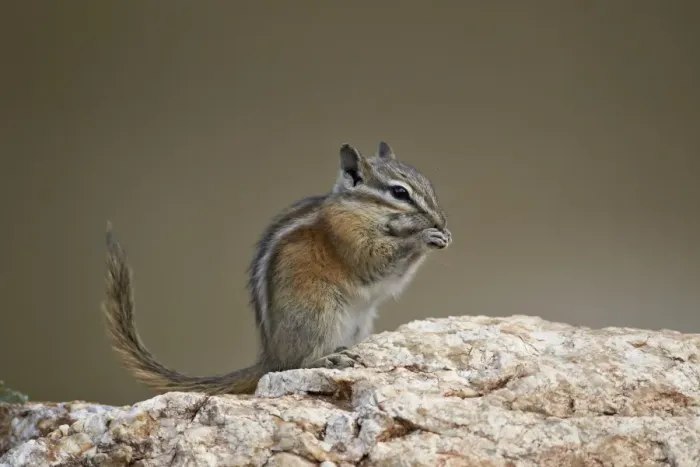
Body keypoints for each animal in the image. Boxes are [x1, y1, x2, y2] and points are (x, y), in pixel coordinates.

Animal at [101, 141, 452, 395]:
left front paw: (442, 235)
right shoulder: (348, 239)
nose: (441, 220)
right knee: (296, 365)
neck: (360, 210)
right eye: (399, 192)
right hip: (318, 313)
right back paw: (327, 357)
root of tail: (270, 357)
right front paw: (424, 237)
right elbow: (375, 262)